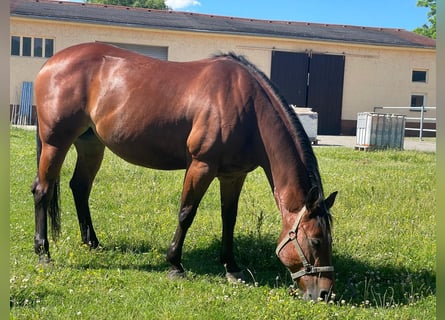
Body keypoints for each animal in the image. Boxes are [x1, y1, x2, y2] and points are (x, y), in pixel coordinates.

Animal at [32, 42, 336, 300]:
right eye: (316, 240)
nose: (325, 293)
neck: (247, 106)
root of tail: (51, 63)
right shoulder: (201, 165)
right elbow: (186, 213)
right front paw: (175, 264)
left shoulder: (233, 175)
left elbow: (229, 218)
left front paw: (231, 266)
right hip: (55, 143)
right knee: (42, 191)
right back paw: (43, 252)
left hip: (91, 144)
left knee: (80, 187)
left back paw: (92, 243)